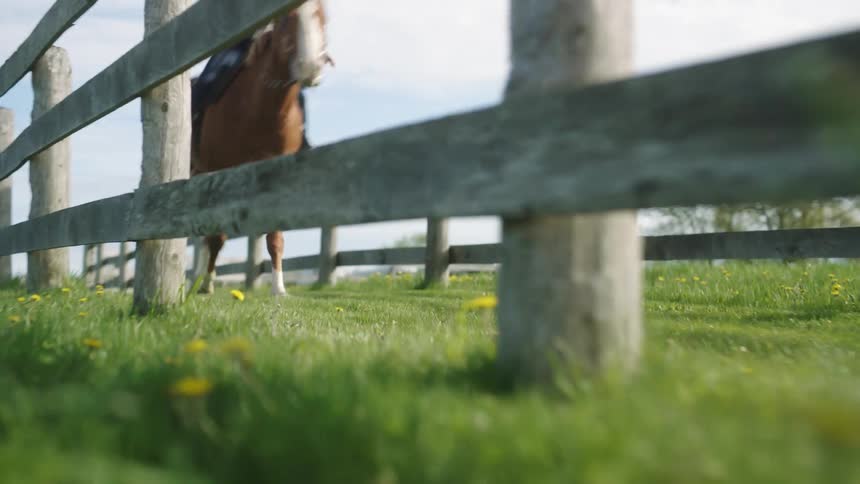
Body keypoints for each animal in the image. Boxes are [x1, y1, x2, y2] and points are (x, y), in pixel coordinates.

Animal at [190, 0, 333, 297]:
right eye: (285, 19)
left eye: (323, 17)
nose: (310, 67)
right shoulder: (219, 171)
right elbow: (216, 236)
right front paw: (207, 285)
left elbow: (275, 236)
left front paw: (278, 288)